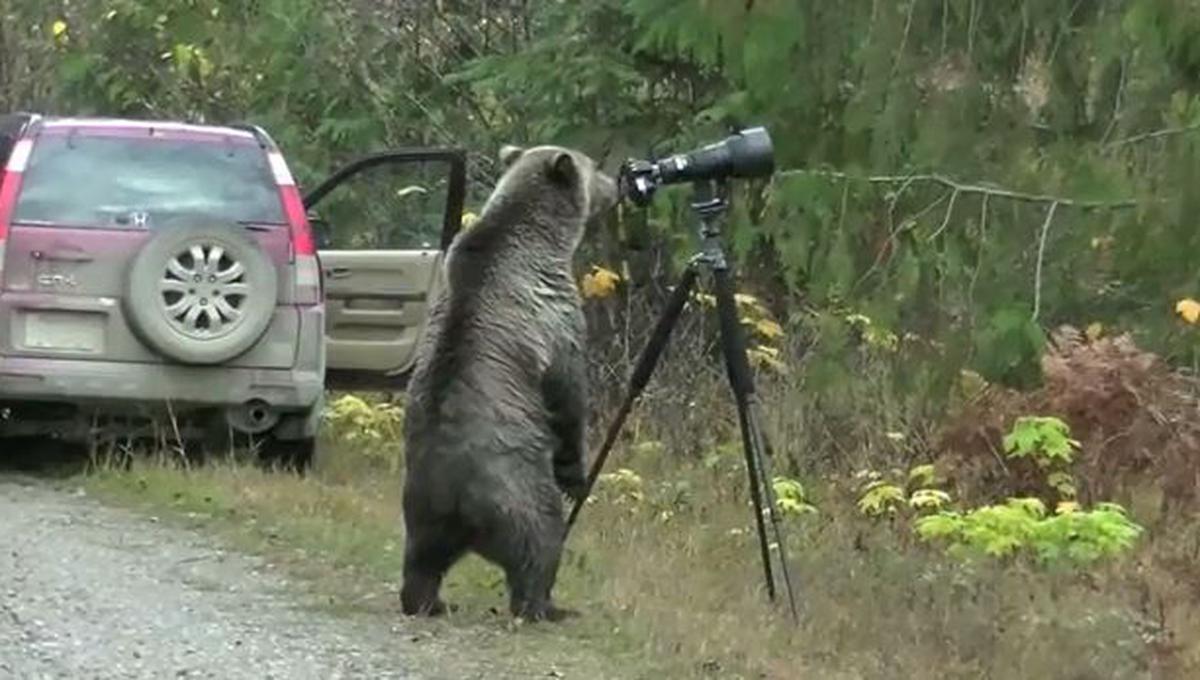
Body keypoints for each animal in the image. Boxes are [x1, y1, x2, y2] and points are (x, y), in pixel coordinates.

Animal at [400, 143, 614, 623]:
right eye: (595, 168)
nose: (617, 184)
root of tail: (453, 496)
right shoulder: (553, 313)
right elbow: (569, 394)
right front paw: (577, 472)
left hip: (419, 507)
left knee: (421, 559)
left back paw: (429, 600)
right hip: (517, 489)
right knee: (541, 540)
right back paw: (545, 605)